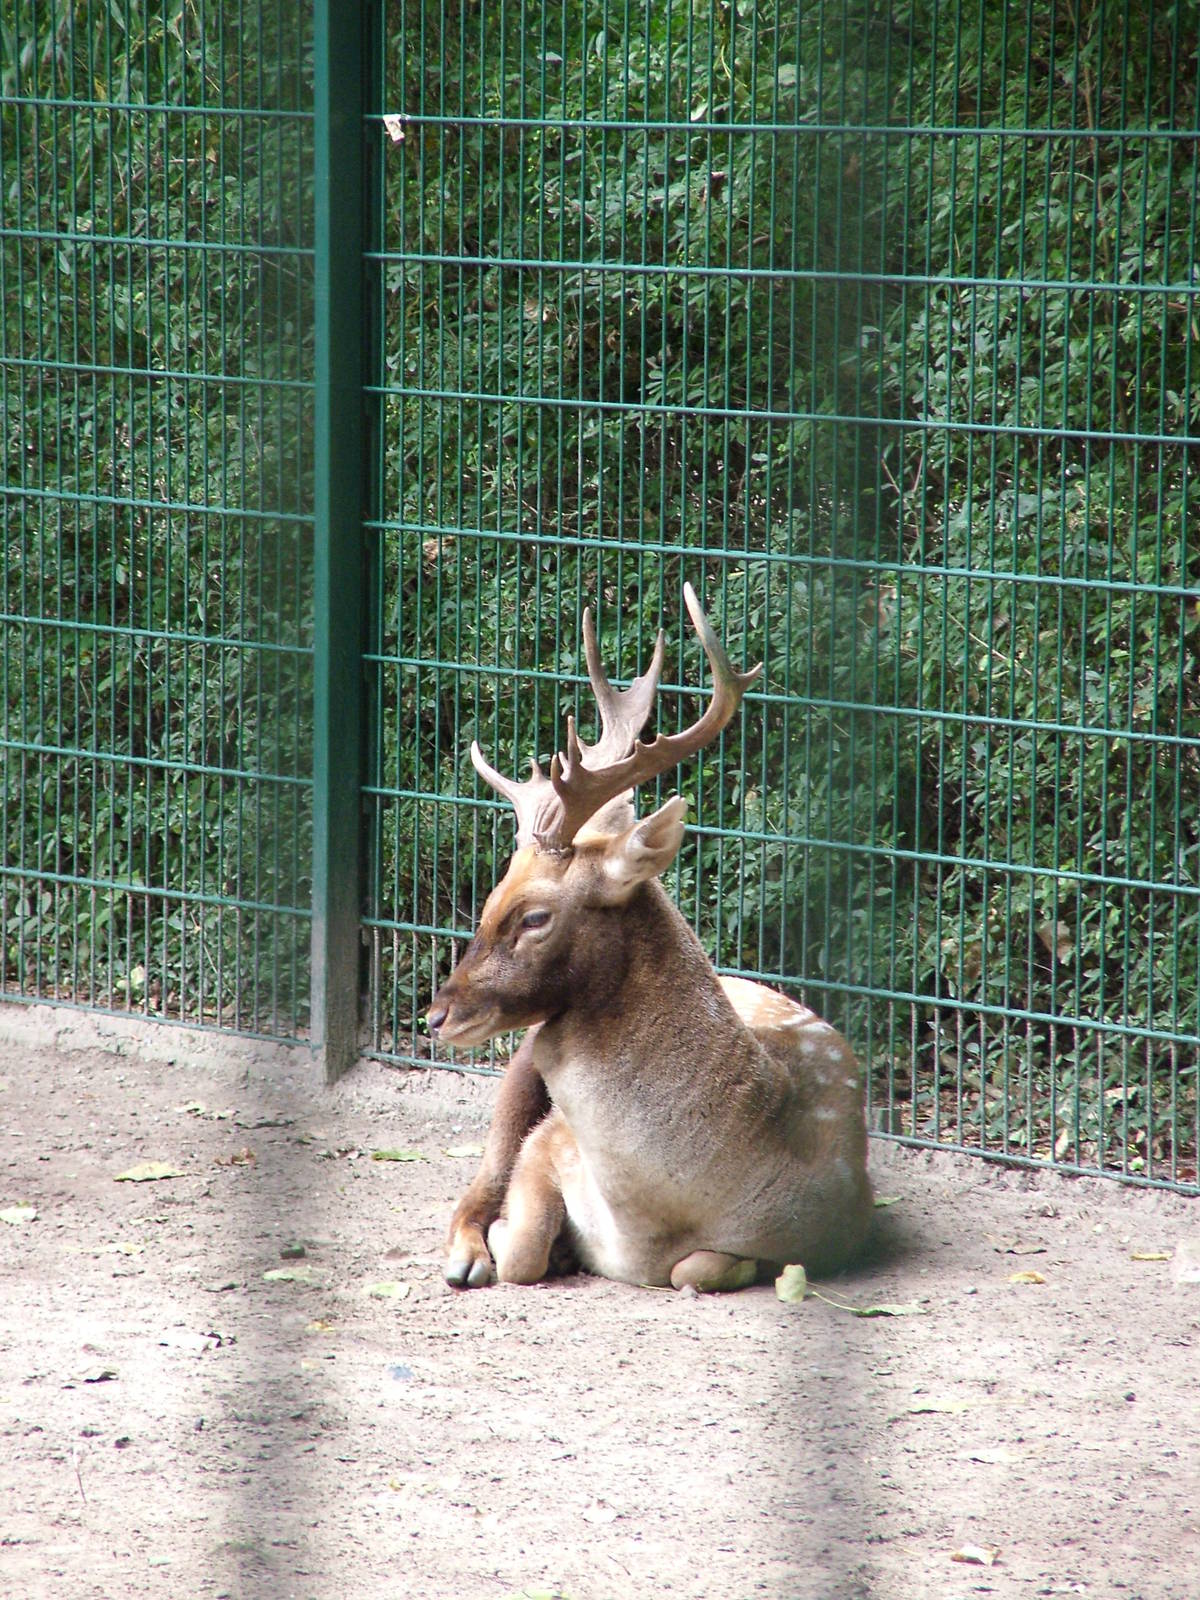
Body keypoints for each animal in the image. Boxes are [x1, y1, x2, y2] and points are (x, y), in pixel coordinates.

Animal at [426, 584, 873, 1292]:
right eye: (493, 893)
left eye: (534, 917)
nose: (436, 1014)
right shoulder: (549, 1142)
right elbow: (520, 1247)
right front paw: (521, 1243)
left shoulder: (832, 1232)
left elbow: (699, 1267)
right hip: (521, 1065)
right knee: (480, 1178)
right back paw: (468, 1256)